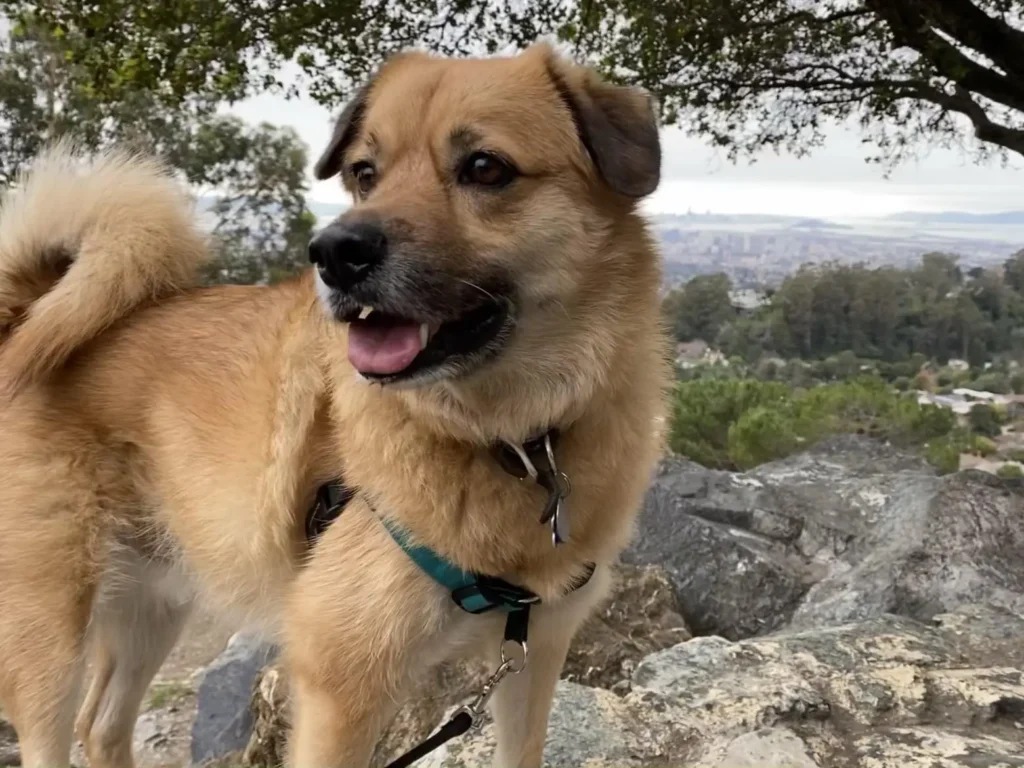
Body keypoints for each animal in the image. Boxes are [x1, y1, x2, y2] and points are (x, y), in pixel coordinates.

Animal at [0, 41, 671, 768]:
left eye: (485, 167)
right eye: (364, 173)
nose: (334, 252)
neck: (507, 442)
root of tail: (31, 310)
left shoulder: (533, 654)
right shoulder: (340, 690)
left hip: (152, 598)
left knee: (101, 724)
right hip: (48, 630)